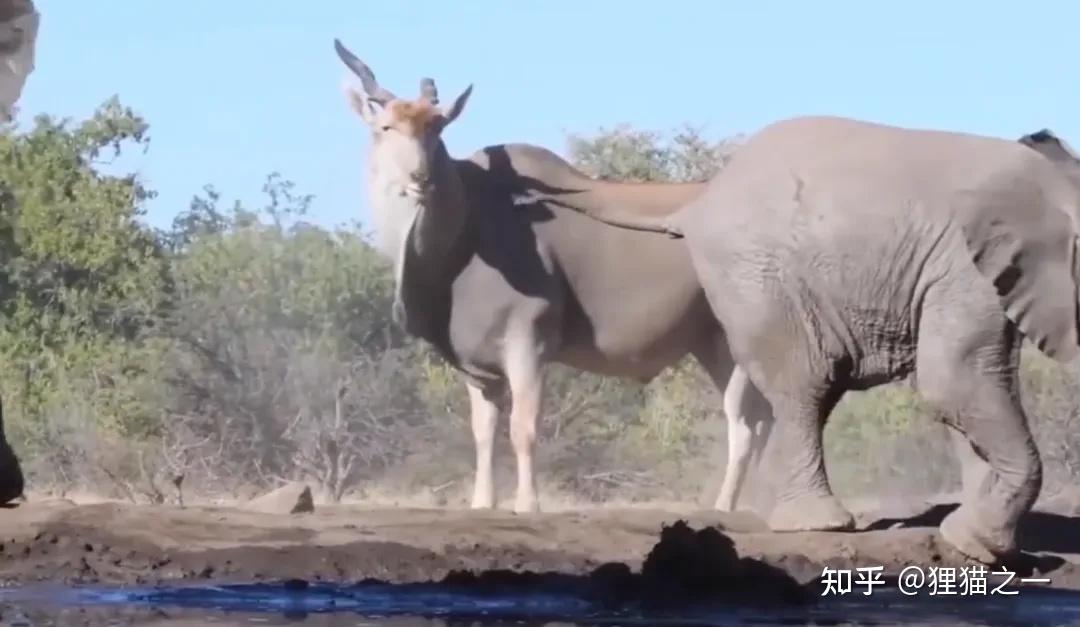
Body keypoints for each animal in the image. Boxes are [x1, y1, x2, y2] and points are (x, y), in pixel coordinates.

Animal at [541, 113, 1080, 564]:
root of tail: (699, 202)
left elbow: (965, 390)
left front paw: (973, 540)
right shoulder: (964, 271)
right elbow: (954, 381)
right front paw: (978, 542)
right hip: (758, 280)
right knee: (804, 385)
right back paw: (819, 524)